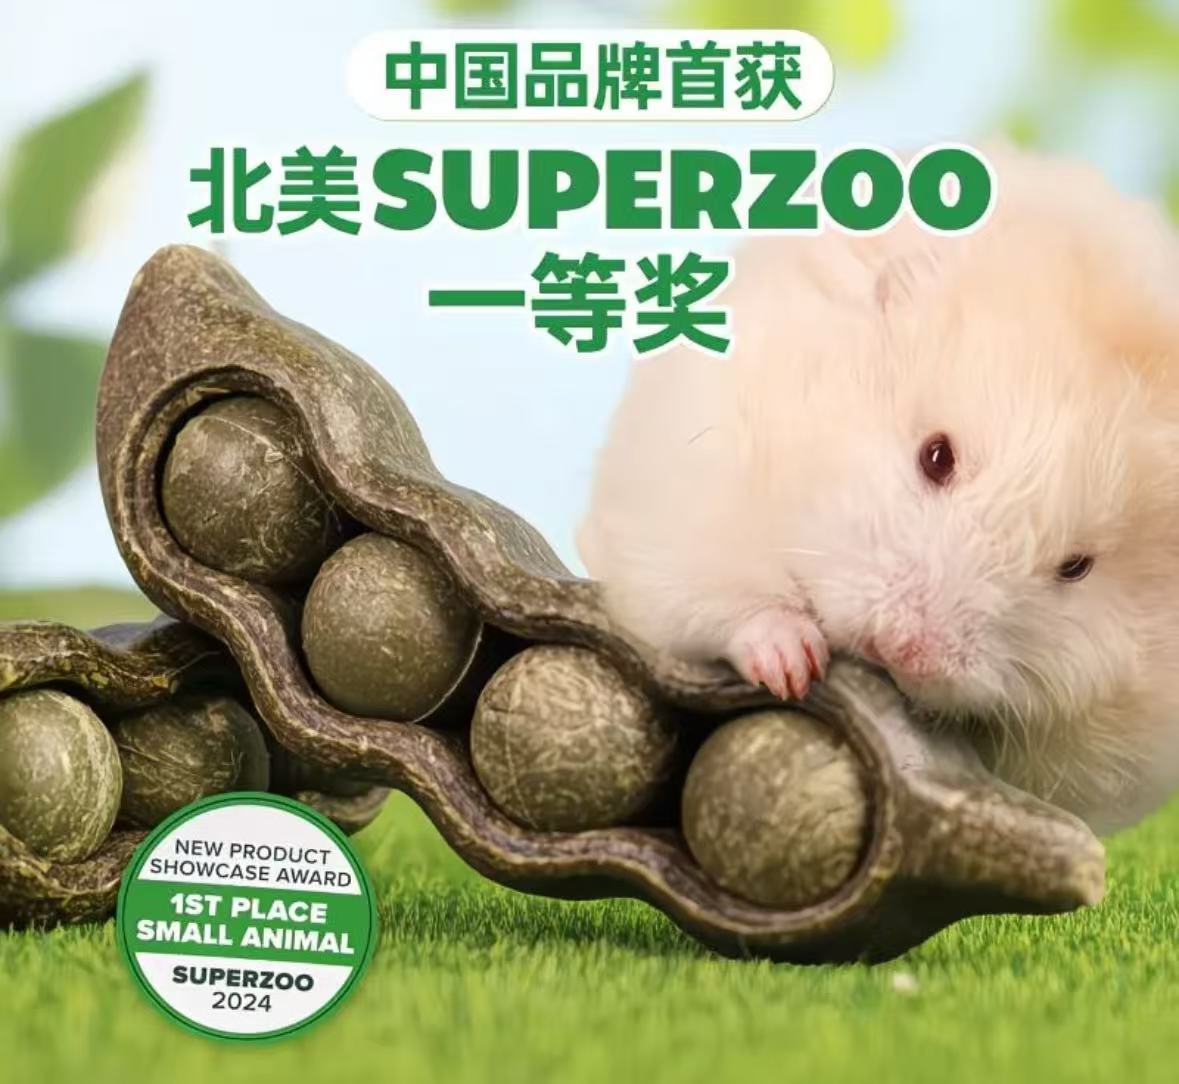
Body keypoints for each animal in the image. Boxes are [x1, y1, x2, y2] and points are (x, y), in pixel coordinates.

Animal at [579, 147, 1179, 834]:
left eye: (1077, 567)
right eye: (936, 456)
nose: (900, 649)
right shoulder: (693, 485)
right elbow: (729, 601)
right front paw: (794, 667)